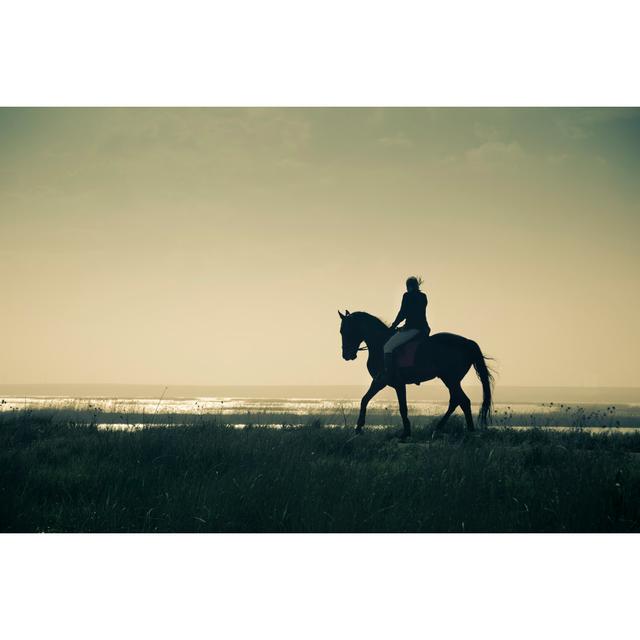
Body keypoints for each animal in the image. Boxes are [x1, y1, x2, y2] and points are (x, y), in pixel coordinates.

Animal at [340, 308, 496, 438]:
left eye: (346, 331)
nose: (346, 355)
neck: (380, 344)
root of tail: (467, 342)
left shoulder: (391, 382)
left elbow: (402, 408)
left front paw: (405, 433)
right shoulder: (381, 382)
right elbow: (365, 399)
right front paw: (359, 428)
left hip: (450, 379)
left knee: (462, 401)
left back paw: (462, 430)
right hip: (451, 380)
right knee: (457, 401)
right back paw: (445, 429)